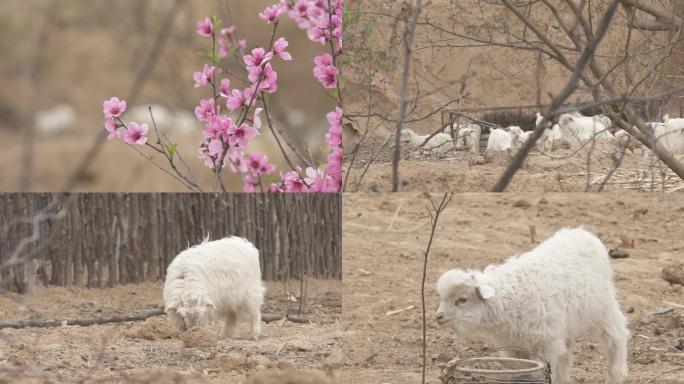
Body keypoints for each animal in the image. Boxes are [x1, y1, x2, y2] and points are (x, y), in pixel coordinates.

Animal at [436, 228, 628, 384]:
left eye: (462, 300)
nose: (438, 317)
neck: (509, 301)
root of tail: (583, 233)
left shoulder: (546, 343)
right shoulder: (513, 346)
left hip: (603, 308)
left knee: (617, 336)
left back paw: (616, 374)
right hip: (567, 326)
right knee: (566, 354)